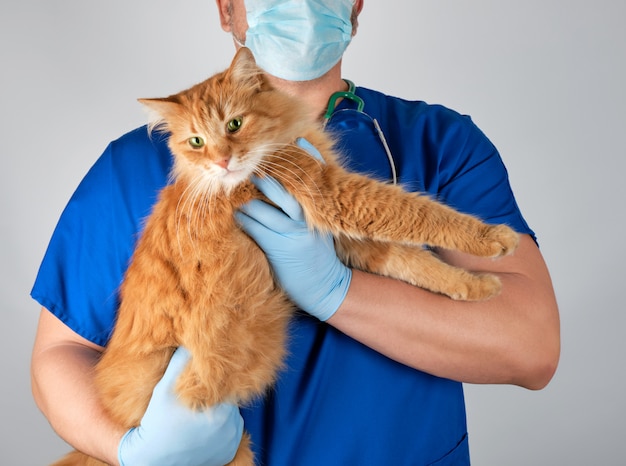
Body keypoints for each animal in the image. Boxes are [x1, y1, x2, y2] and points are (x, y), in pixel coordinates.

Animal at [53, 48, 520, 466]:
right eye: (196, 142)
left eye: (235, 124)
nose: (223, 161)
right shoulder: (335, 195)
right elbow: (422, 214)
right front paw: (493, 237)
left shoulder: (343, 240)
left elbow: (418, 261)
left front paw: (476, 285)